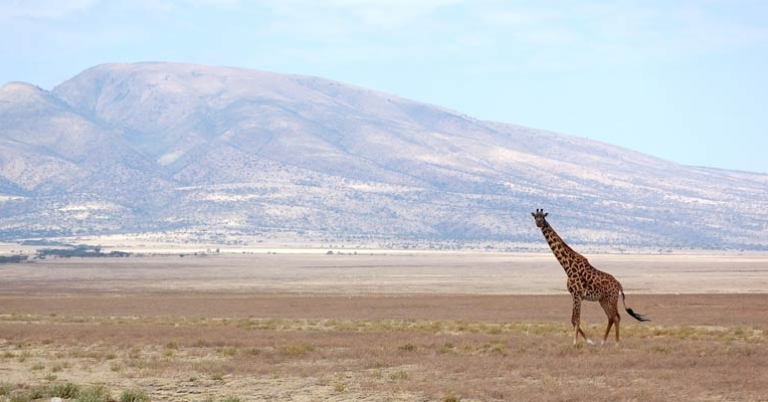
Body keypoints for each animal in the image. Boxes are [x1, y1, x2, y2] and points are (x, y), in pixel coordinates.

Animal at [531, 209, 649, 346]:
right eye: (535, 217)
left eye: (543, 217)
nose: (539, 223)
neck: (567, 266)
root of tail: (619, 284)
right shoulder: (576, 295)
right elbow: (573, 319)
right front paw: (588, 341)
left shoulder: (577, 294)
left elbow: (576, 319)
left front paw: (576, 342)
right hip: (603, 300)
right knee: (611, 317)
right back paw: (603, 342)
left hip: (612, 299)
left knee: (617, 317)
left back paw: (616, 343)